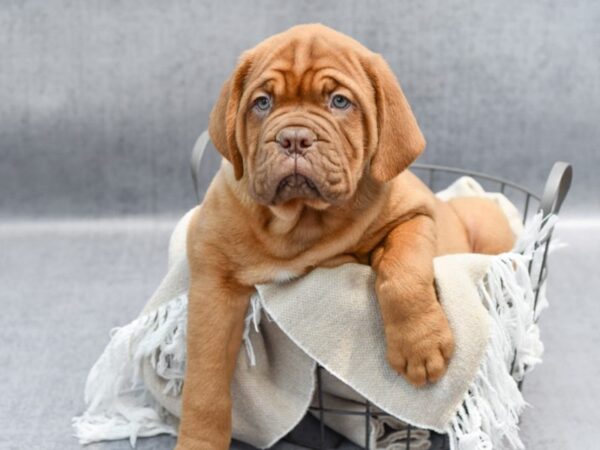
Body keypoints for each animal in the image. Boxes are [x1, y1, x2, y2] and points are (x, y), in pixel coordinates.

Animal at [176, 23, 512, 450]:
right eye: (262, 103)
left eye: (339, 101)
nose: (294, 138)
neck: (303, 220)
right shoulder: (212, 279)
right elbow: (206, 381)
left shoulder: (415, 215)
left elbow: (402, 272)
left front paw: (420, 347)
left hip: (487, 218)